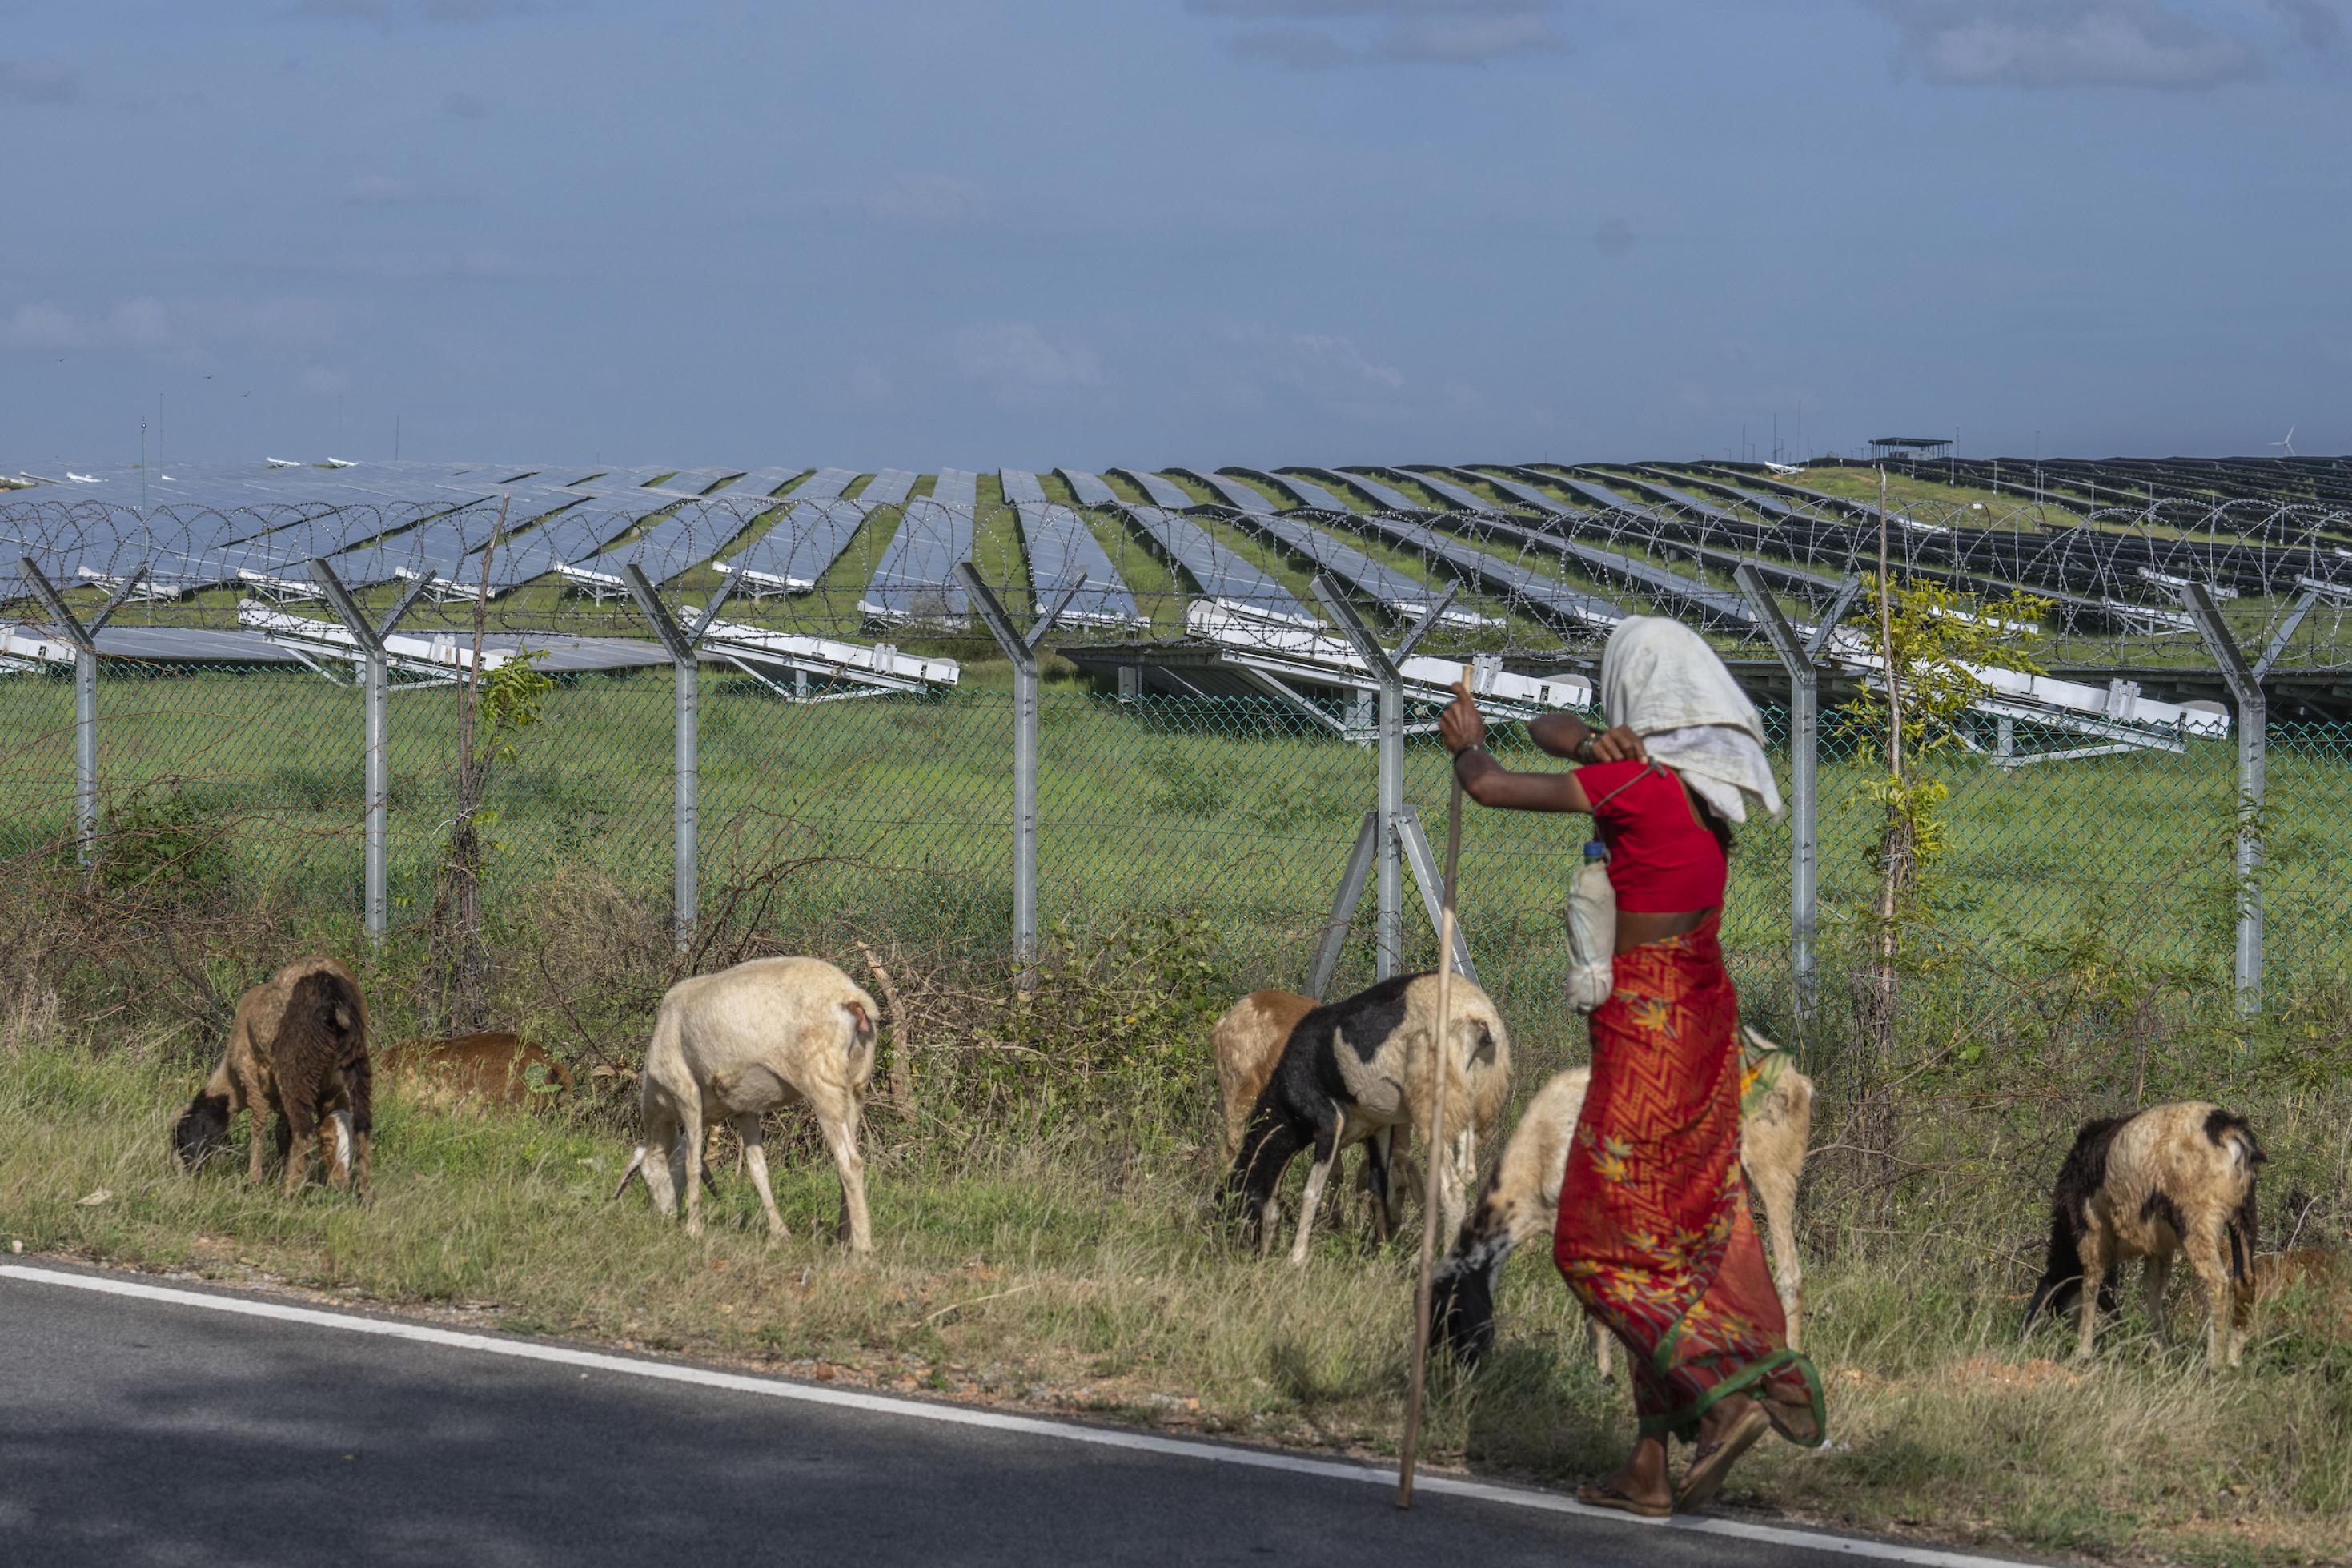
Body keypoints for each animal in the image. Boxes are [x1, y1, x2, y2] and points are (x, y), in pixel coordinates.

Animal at [171, 959, 371, 1203]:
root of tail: (331, 988)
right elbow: (299, 1131)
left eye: (181, 1138)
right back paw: (363, 1195)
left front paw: (255, 1181)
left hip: (295, 1067)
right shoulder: (325, 1088)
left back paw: (290, 1193)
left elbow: (260, 1127)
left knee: (304, 1130)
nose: (186, 1176)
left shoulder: (251, 1077)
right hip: (354, 1059)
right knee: (361, 1125)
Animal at [616, 959, 884, 1250]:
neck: (659, 1104)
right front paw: (779, 1233)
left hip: (822, 1079)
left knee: (850, 1163)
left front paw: (694, 1230)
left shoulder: (687, 1095)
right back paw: (843, 1236)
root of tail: (852, 996)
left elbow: (692, 1165)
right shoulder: (743, 1109)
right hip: (857, 1082)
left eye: (643, 1177)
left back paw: (862, 1247)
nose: (664, 1218)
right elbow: (758, 1171)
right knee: (847, 1159)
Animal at [1222, 972, 1515, 1269]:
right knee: (1466, 1174)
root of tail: (1479, 1015)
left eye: (1237, 1206)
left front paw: (1297, 1259)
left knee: (1452, 1191)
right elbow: (1377, 1188)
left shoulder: (1329, 1120)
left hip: (1433, 1108)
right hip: (1467, 1102)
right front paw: (1380, 1253)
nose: (1240, 1254)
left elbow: (1312, 1190)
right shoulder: (1378, 1128)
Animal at [1420, 1034, 1806, 1382]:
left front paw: (1604, 1372)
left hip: (1772, 1171)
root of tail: (1796, 1079)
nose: (1444, 1374)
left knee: (1790, 1272)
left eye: (1447, 1312)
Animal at [2022, 1100, 2258, 1363]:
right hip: (2244, 1214)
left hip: (2195, 1221)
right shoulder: (2159, 1248)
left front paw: (2083, 1352)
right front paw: (2160, 1353)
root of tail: (2226, 1130)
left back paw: (2213, 1365)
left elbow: (2091, 1283)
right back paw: (2233, 1362)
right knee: (2245, 1281)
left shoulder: (2090, 1233)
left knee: (2217, 1281)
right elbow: (2153, 1291)